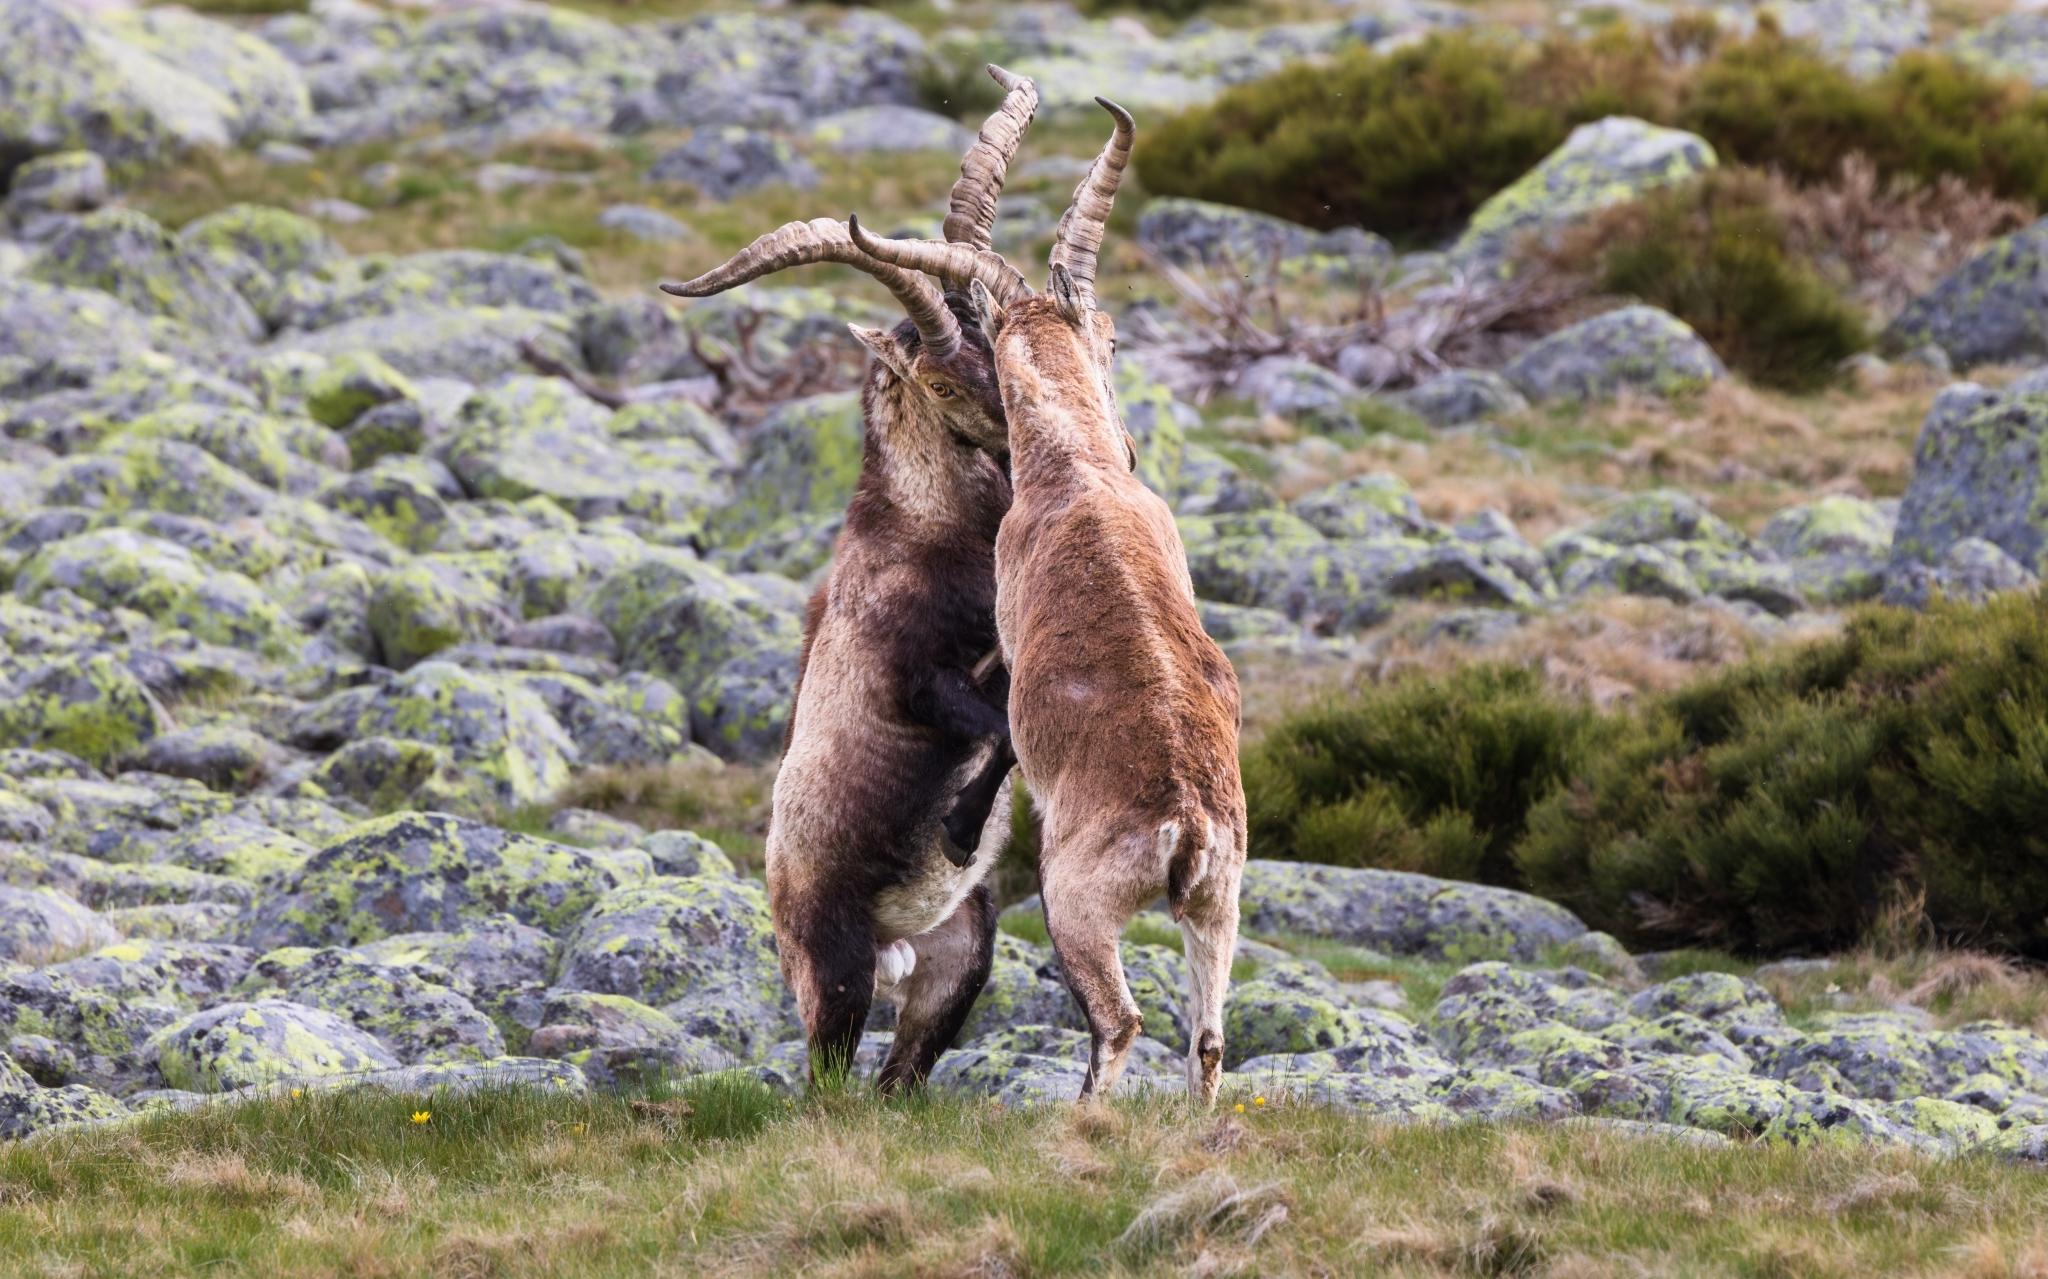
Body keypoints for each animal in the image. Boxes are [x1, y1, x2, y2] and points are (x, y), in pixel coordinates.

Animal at [660, 68, 1038, 1090]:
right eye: (939, 382)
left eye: (995, 349)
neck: (926, 529)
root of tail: (895, 945)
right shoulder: (913, 677)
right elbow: (995, 728)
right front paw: (957, 831)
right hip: (831, 966)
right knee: (828, 1075)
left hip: (963, 958)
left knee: (900, 1073)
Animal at [852, 98, 1247, 1106]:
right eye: (1107, 336)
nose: (1134, 443)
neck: (1079, 470)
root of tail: (1186, 825)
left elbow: (1000, 734)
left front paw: (958, 834)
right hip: (1219, 901)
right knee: (1208, 1039)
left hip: (1079, 905)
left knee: (1120, 1022)